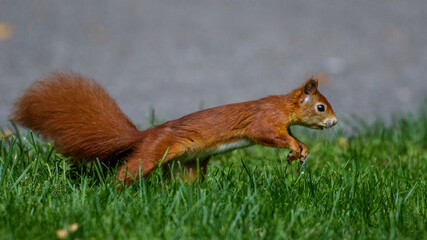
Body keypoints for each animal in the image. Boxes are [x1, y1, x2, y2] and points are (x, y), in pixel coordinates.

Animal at [9, 72, 338, 185]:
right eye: (321, 107)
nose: (335, 122)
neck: (283, 106)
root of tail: (145, 135)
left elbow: (289, 136)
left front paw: (301, 150)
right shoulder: (265, 120)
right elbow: (267, 135)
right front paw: (295, 149)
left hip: (191, 163)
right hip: (154, 152)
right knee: (129, 170)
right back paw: (114, 190)